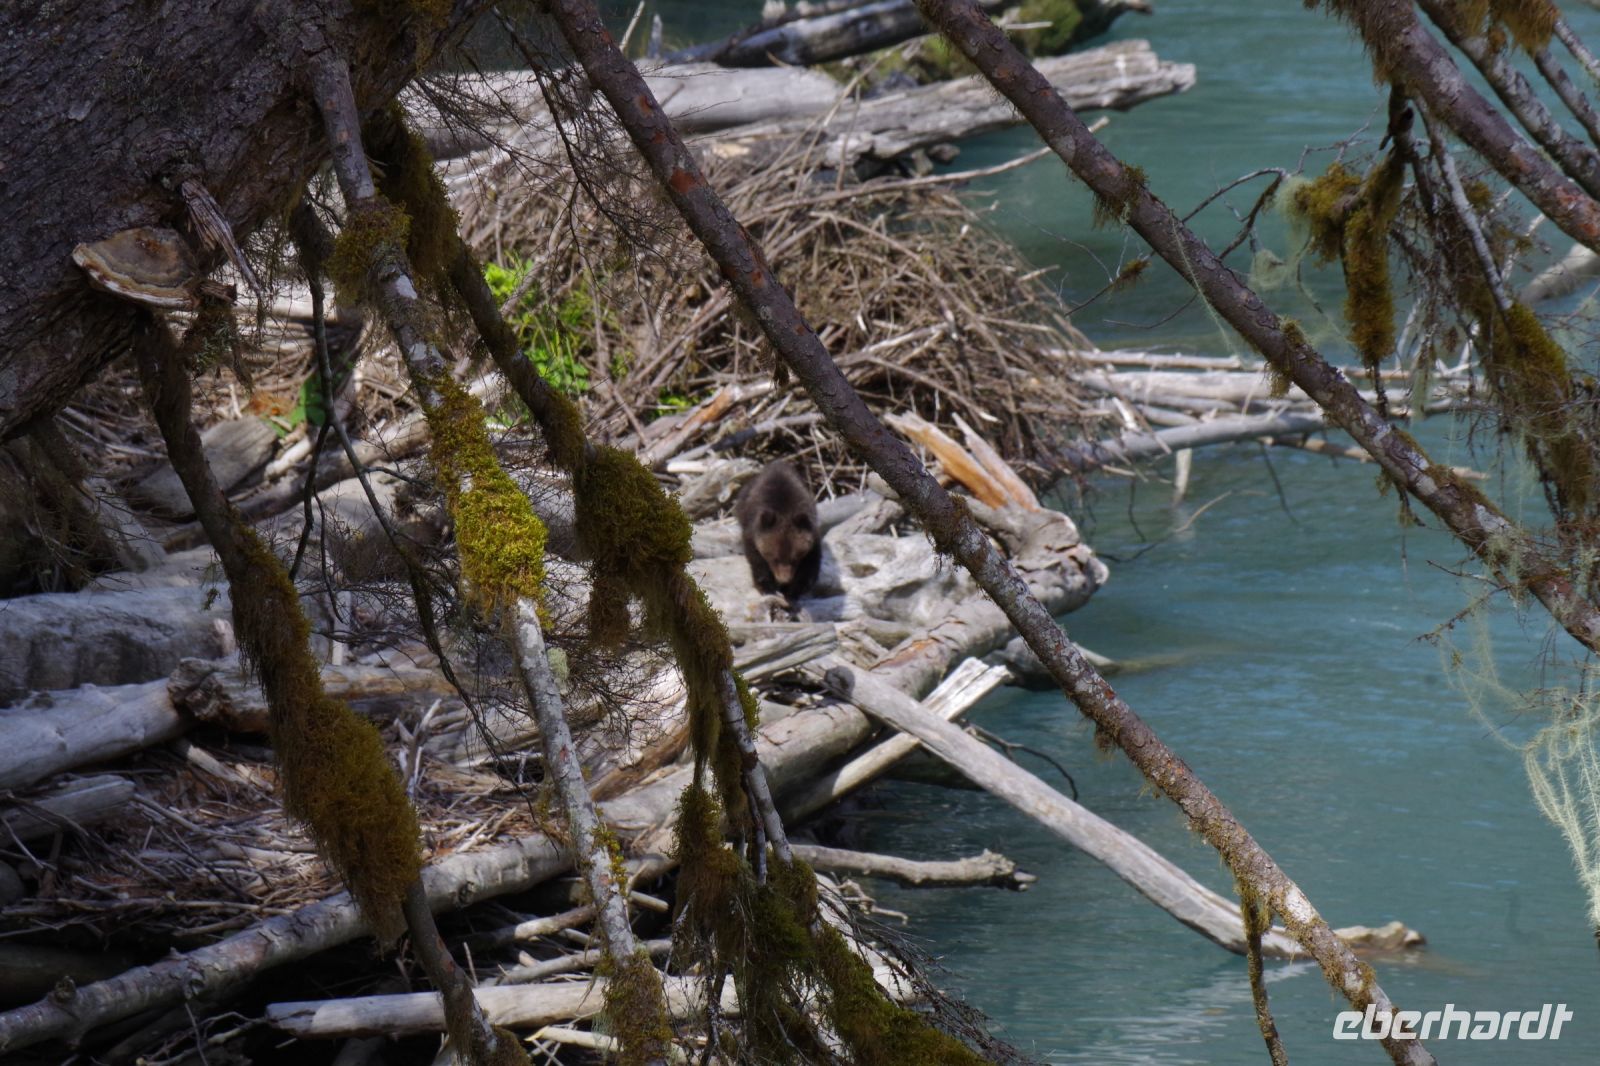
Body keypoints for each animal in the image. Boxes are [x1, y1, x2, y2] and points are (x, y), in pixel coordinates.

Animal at [734, 460, 822, 601]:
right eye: (774, 558)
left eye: (795, 558)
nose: (784, 580)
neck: (784, 509)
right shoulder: (752, 531)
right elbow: (756, 560)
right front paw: (766, 587)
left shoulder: (812, 536)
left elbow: (810, 565)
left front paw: (794, 590)